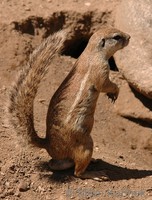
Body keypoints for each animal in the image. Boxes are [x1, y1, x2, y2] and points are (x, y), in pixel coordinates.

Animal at [7, 26, 130, 181]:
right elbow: (104, 84)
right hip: (85, 144)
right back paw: (95, 173)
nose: (129, 37)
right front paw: (116, 90)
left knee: (57, 164)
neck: (92, 52)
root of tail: (48, 144)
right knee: (77, 173)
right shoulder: (100, 69)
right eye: (117, 37)